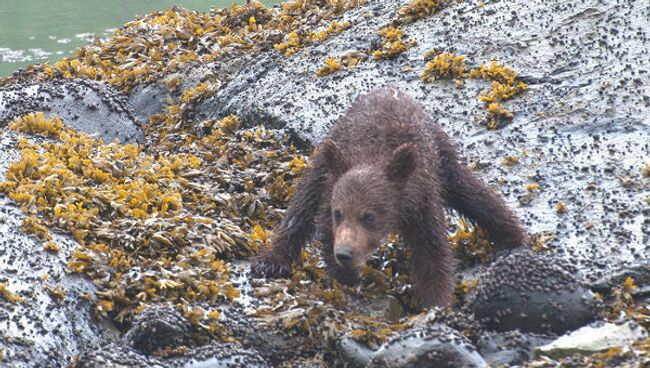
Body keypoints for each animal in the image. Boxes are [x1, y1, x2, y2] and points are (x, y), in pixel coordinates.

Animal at [249, 87, 528, 308]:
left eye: (369, 217)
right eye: (339, 213)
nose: (345, 253)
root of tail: (389, 90)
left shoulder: (421, 202)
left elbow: (432, 253)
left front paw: (435, 304)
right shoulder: (331, 192)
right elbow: (325, 233)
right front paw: (347, 282)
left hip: (440, 154)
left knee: (470, 191)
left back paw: (511, 234)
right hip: (327, 158)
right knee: (302, 204)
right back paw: (271, 261)